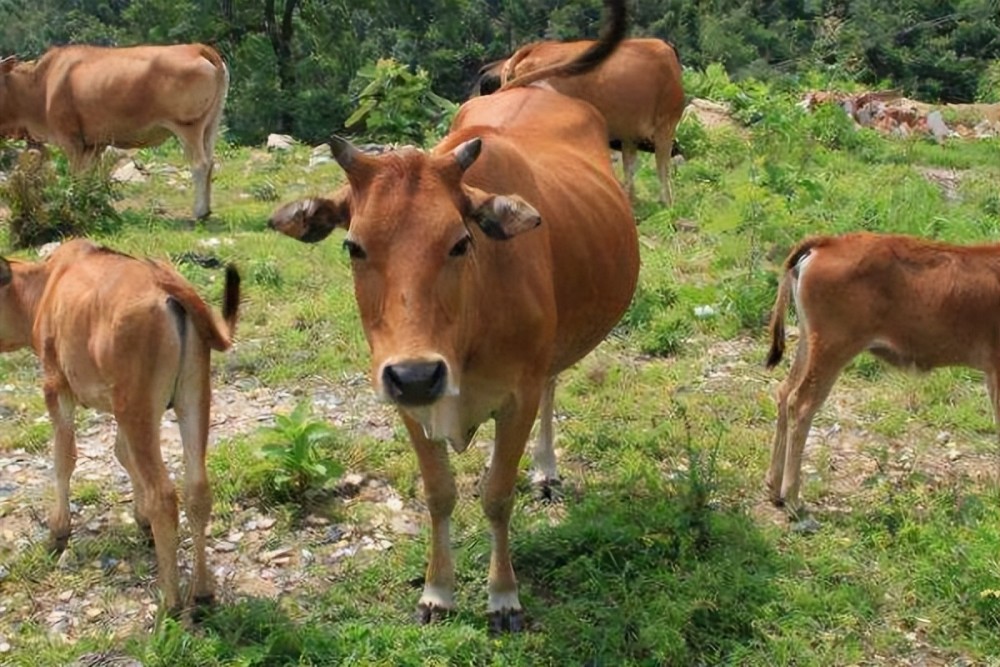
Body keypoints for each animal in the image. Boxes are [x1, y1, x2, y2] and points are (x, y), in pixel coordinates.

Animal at [0, 45, 229, 222]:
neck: (41, 84)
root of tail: (197, 47)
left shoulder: (71, 140)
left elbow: (76, 175)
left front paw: (74, 205)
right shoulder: (94, 143)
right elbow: (87, 176)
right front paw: (86, 202)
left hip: (189, 126)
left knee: (200, 164)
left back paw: (199, 212)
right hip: (210, 125)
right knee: (211, 162)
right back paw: (207, 210)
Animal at [0, 240, 240, 616]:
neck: (43, 287)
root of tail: (169, 291)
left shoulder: (57, 385)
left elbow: (64, 458)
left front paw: (58, 532)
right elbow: (121, 453)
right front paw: (140, 520)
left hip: (137, 405)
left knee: (164, 495)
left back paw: (170, 601)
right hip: (193, 396)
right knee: (197, 489)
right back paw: (202, 593)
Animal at [270, 0, 636, 632]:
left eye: (461, 242)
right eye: (354, 246)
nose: (418, 373)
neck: (465, 334)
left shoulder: (516, 396)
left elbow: (496, 494)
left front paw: (503, 596)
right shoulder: (406, 400)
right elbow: (439, 493)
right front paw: (438, 591)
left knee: (553, 384)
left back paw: (546, 469)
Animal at [474, 36, 680, 202]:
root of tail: (534, 48)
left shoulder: (629, 134)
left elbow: (630, 167)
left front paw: (631, 200)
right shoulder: (665, 125)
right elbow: (663, 167)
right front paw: (668, 203)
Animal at [768, 234, 1000, 516]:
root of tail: (830, 241)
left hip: (809, 344)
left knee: (784, 392)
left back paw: (774, 489)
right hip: (832, 349)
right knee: (800, 404)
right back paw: (792, 499)